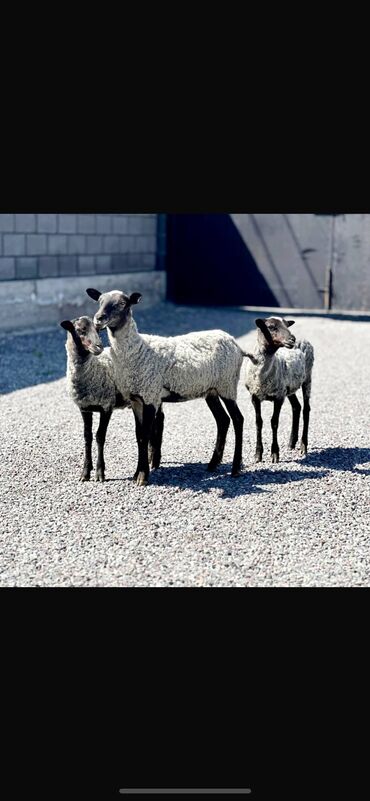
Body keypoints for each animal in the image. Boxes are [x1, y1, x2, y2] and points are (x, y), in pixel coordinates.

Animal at [85, 290, 244, 488]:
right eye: (99, 301)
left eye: (122, 303)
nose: (99, 319)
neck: (139, 350)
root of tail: (233, 341)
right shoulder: (136, 399)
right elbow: (138, 435)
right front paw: (137, 473)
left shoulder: (150, 396)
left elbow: (145, 435)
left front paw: (143, 476)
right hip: (212, 390)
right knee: (223, 420)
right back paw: (213, 464)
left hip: (227, 385)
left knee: (238, 419)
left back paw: (235, 469)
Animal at [244, 314, 314, 462]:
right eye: (271, 327)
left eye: (287, 325)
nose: (292, 339)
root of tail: (301, 341)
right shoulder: (254, 396)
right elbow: (258, 422)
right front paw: (258, 454)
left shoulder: (278, 396)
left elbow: (274, 422)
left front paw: (275, 453)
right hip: (290, 387)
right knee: (296, 406)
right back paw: (291, 442)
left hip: (307, 378)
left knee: (306, 409)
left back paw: (303, 446)